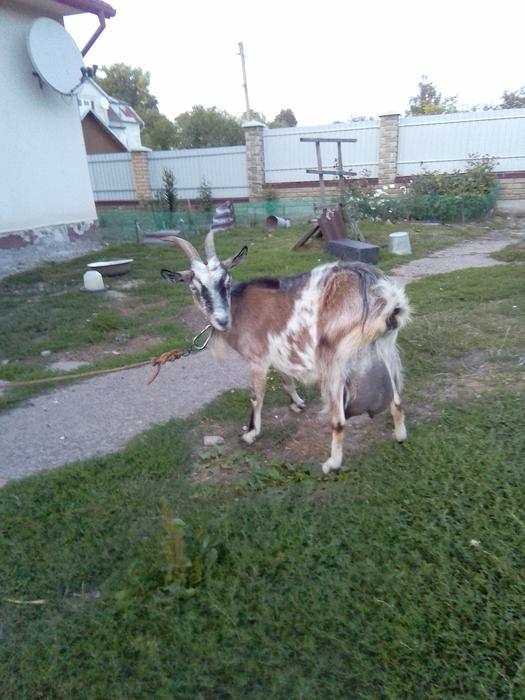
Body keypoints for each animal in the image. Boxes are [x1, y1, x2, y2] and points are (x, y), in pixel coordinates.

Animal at [161, 231, 411, 473]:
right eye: (195, 287)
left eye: (226, 281)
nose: (222, 320)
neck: (239, 309)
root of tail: (384, 296)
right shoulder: (278, 353)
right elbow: (286, 380)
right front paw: (297, 403)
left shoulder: (257, 359)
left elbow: (256, 396)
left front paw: (251, 433)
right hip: (385, 348)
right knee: (396, 400)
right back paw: (399, 436)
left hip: (335, 359)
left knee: (339, 419)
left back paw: (331, 464)